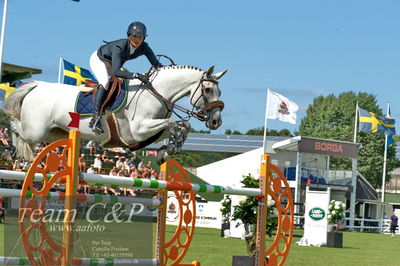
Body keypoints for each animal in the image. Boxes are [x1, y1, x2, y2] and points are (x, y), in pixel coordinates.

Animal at [3, 65, 227, 162]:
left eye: (219, 91)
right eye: (208, 90)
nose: (216, 121)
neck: (155, 92)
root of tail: (37, 85)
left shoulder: (148, 132)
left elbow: (182, 126)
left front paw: (168, 150)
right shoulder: (138, 130)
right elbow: (172, 123)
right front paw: (171, 147)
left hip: (53, 133)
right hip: (36, 131)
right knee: (16, 126)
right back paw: (13, 150)